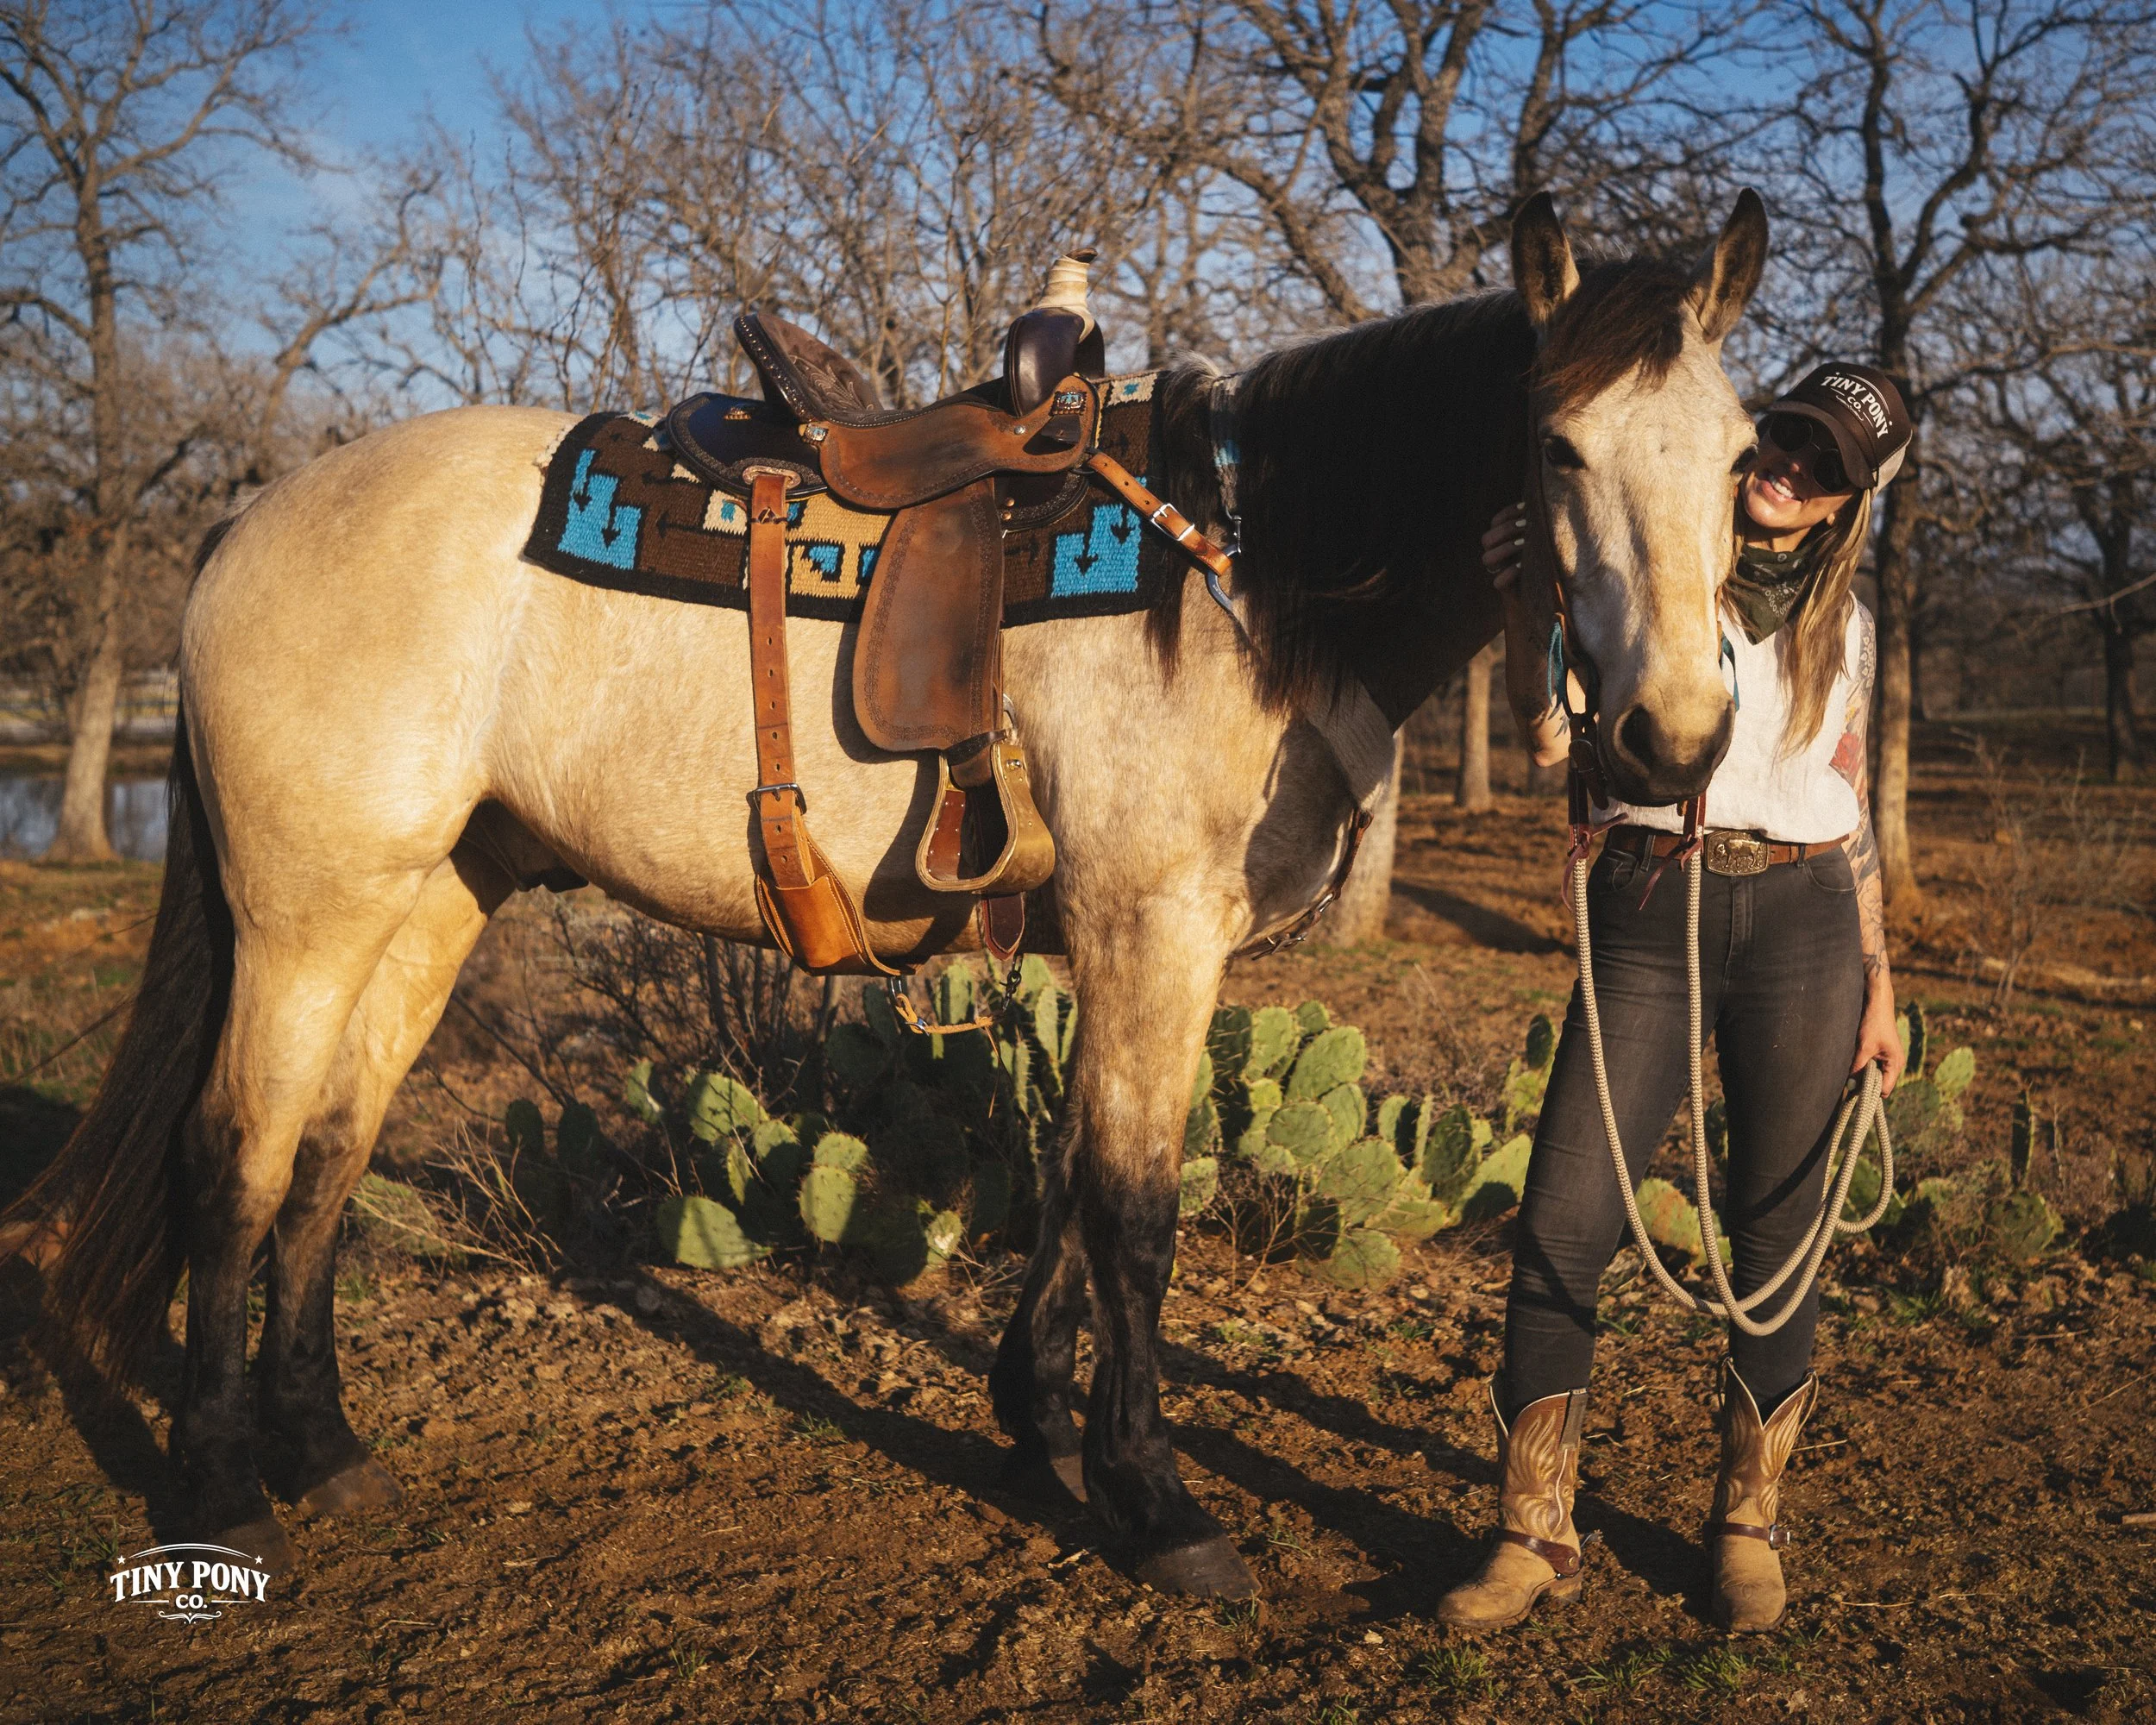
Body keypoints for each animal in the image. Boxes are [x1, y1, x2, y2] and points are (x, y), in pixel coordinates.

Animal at [14, 192, 1766, 1597]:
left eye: (1747, 463)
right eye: (1559, 445)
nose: (1674, 734)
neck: (1247, 577)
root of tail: (250, 519)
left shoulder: (1107, 949)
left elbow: (1067, 1183)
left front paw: (1036, 1430)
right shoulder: (1154, 933)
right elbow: (1136, 1213)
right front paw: (1158, 1504)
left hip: (428, 904)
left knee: (328, 1157)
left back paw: (323, 1451)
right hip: (303, 915)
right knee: (233, 1166)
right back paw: (225, 1489)